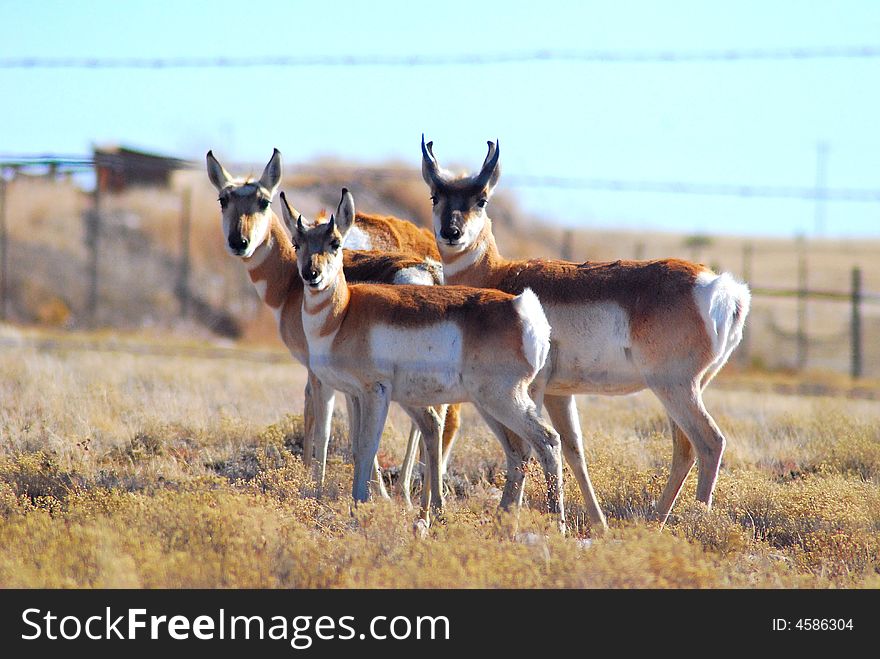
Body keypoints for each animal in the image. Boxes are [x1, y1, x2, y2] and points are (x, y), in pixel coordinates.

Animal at [206, 148, 460, 500]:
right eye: (223, 199)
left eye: (263, 201)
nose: (238, 242)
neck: (289, 281)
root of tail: (429, 272)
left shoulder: (320, 372)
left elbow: (321, 424)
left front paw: (314, 484)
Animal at [286, 188, 568, 528]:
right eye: (297, 243)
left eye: (335, 243)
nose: (311, 275)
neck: (344, 313)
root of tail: (521, 308)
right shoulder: (354, 394)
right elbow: (356, 446)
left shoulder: (375, 392)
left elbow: (367, 446)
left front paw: (360, 507)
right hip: (489, 405)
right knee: (517, 452)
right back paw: (503, 523)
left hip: (503, 400)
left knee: (547, 441)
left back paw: (556, 525)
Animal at [420, 137, 748, 528]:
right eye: (435, 196)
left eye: (481, 198)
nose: (451, 233)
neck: (500, 274)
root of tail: (718, 286)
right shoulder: (559, 394)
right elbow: (574, 450)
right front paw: (598, 522)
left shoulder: (533, 390)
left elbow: (525, 447)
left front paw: (510, 516)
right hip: (681, 390)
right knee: (684, 448)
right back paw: (654, 520)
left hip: (674, 387)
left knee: (709, 442)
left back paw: (693, 522)